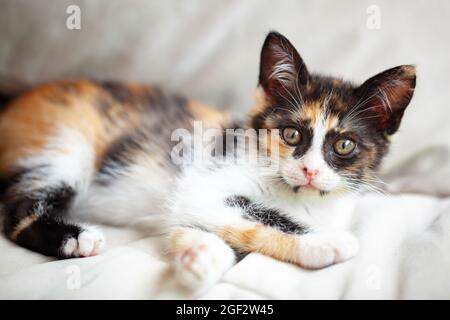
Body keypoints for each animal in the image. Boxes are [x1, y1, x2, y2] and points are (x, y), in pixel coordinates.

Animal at [0, 31, 414, 292]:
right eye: (291, 135)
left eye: (344, 145)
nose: (310, 170)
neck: (302, 199)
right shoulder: (203, 182)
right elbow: (258, 213)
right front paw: (324, 242)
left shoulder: (192, 205)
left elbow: (198, 225)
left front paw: (199, 259)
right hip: (64, 142)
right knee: (17, 212)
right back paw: (75, 238)